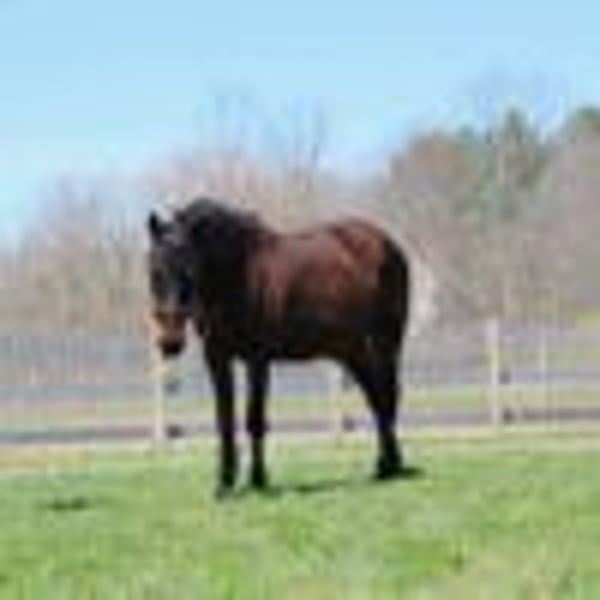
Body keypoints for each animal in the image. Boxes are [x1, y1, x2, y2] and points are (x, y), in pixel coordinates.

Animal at [146, 198, 411, 496]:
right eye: (153, 271)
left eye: (190, 271)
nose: (169, 341)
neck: (238, 274)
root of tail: (388, 244)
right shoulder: (217, 358)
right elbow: (224, 420)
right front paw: (225, 483)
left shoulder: (257, 359)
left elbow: (255, 419)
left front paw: (258, 479)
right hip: (352, 350)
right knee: (376, 398)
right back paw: (385, 466)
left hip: (384, 343)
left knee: (387, 397)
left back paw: (391, 466)